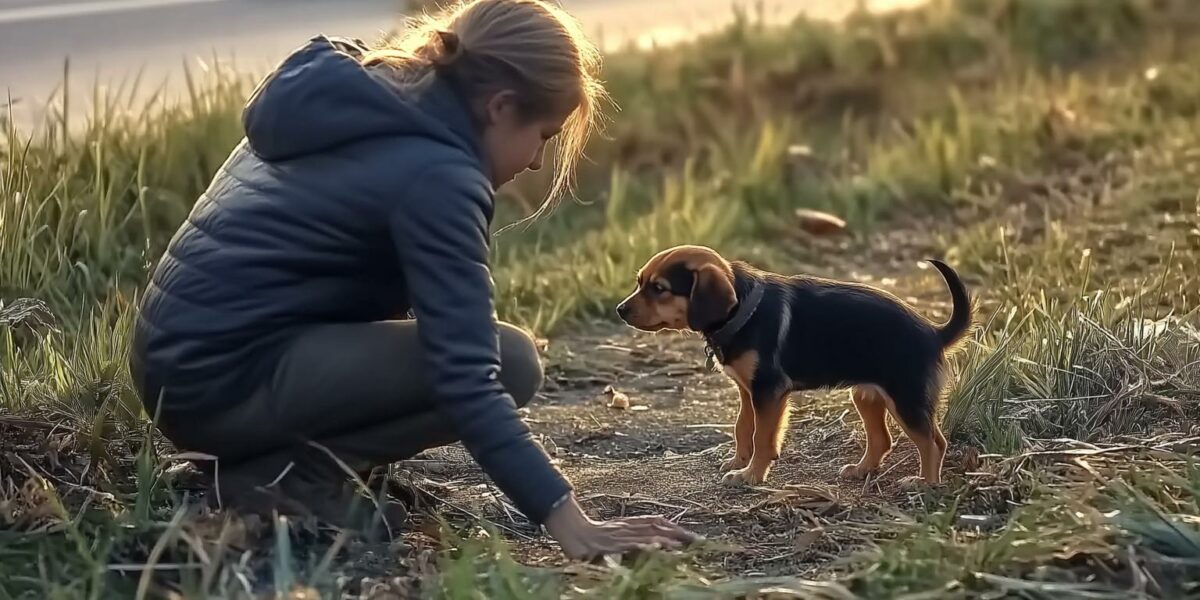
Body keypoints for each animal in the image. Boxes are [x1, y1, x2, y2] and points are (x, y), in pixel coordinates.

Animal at [614, 246, 969, 489]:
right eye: (640, 282)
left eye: (659, 289)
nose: (619, 310)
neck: (743, 310)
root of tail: (934, 333)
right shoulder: (748, 391)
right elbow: (743, 428)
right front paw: (738, 462)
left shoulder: (769, 391)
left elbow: (763, 437)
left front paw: (751, 475)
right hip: (867, 394)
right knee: (882, 439)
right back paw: (861, 470)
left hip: (905, 398)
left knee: (933, 442)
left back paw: (925, 484)